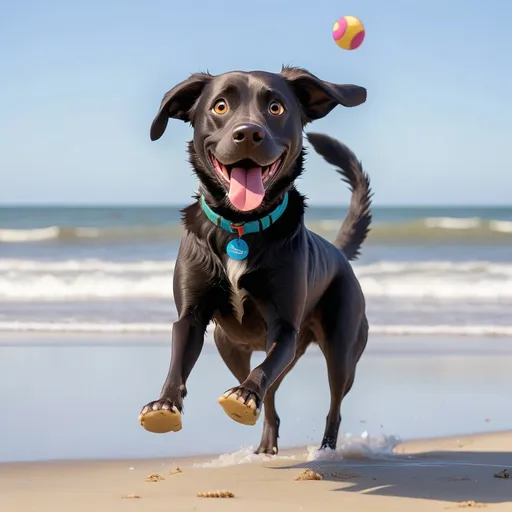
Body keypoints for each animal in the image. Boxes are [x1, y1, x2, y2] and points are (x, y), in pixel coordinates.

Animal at [140, 66, 372, 454]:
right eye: (220, 106)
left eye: (276, 108)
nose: (248, 133)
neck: (241, 226)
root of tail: (339, 253)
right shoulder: (190, 317)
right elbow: (178, 359)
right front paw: (164, 403)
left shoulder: (285, 328)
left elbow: (266, 368)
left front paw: (245, 394)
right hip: (229, 349)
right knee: (272, 400)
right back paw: (266, 443)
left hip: (342, 349)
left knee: (332, 404)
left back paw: (324, 448)